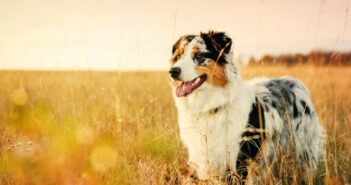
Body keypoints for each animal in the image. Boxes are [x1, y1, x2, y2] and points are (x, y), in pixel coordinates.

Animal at [168, 30, 328, 182]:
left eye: (199, 55)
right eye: (179, 56)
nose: (172, 71)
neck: (211, 106)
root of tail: (295, 82)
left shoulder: (239, 160)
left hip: (304, 150)